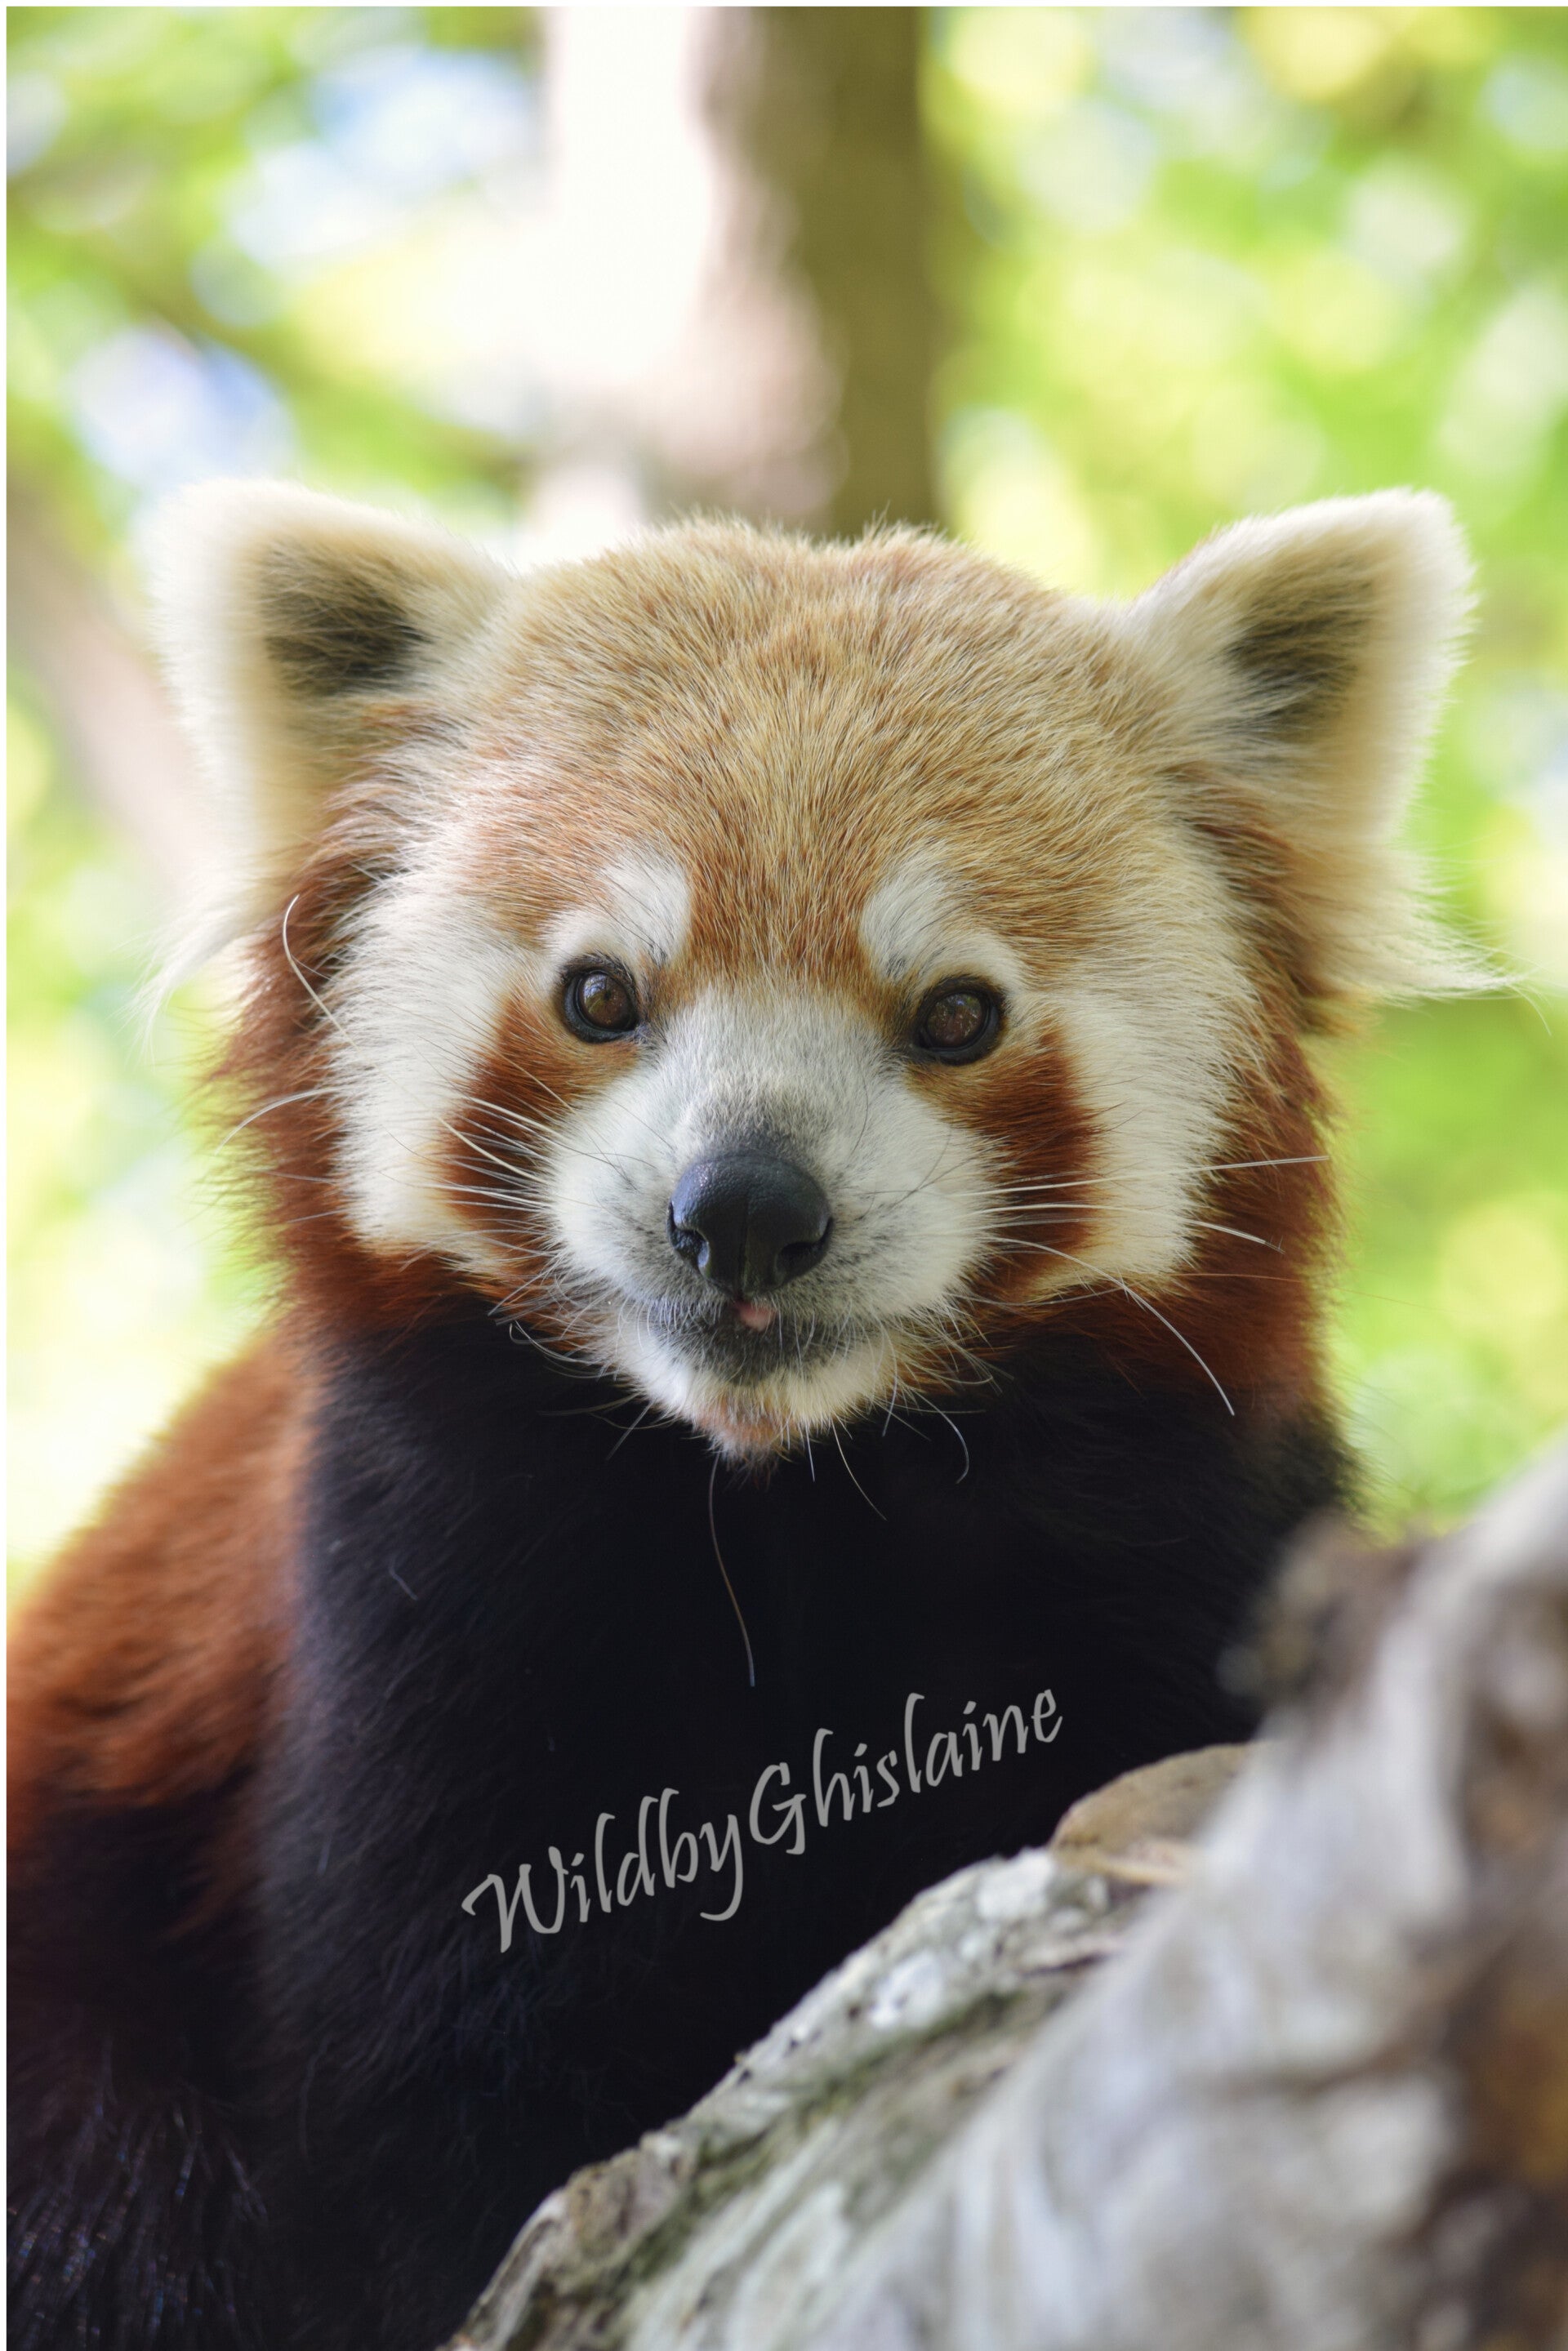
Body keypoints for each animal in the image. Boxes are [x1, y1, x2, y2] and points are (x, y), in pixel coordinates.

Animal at [8, 484, 1471, 2351]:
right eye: (600, 994)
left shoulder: (1188, 1527)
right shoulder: (426, 1595)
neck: (780, 1495)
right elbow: (437, 2087)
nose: (748, 1209)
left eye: (957, 1011)